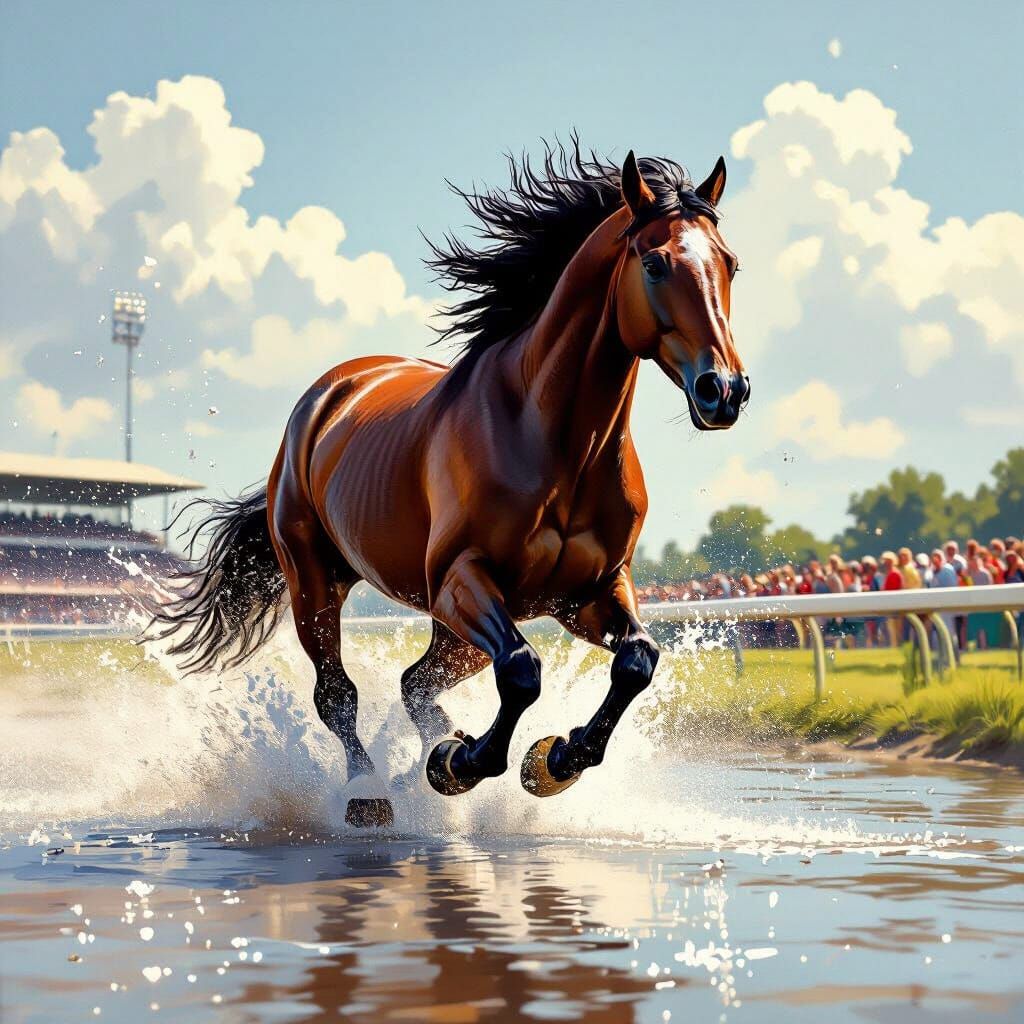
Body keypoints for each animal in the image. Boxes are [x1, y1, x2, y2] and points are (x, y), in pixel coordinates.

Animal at [151, 143, 748, 823]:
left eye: (730, 263)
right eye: (654, 262)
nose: (724, 390)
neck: (556, 441)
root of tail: (328, 395)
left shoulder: (591, 591)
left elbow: (637, 661)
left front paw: (554, 759)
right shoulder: (463, 578)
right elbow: (522, 669)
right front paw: (459, 763)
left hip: (455, 631)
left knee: (415, 681)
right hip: (317, 583)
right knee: (337, 694)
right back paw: (370, 791)